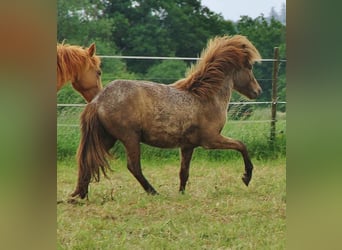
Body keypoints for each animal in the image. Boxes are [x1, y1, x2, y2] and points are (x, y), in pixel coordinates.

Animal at [70, 35, 262, 199]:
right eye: (250, 67)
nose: (257, 91)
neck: (204, 97)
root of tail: (97, 101)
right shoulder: (211, 140)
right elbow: (241, 145)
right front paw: (247, 176)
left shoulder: (187, 146)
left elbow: (184, 172)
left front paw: (182, 193)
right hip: (129, 138)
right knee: (133, 166)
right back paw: (153, 192)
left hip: (107, 138)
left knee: (88, 160)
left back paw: (80, 194)